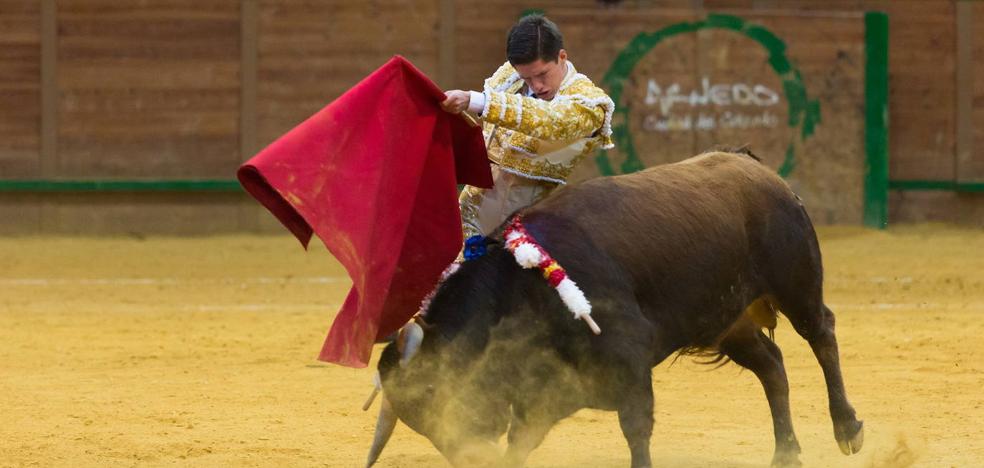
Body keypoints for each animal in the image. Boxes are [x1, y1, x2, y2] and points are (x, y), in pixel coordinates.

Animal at [364, 152, 860, 466]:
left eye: (431, 391)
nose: (470, 457)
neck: (521, 286)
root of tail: (755, 166)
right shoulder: (545, 390)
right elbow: (520, 445)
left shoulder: (630, 363)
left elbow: (636, 430)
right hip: (727, 322)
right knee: (772, 365)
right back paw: (786, 453)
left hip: (796, 284)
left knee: (822, 333)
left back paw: (847, 429)